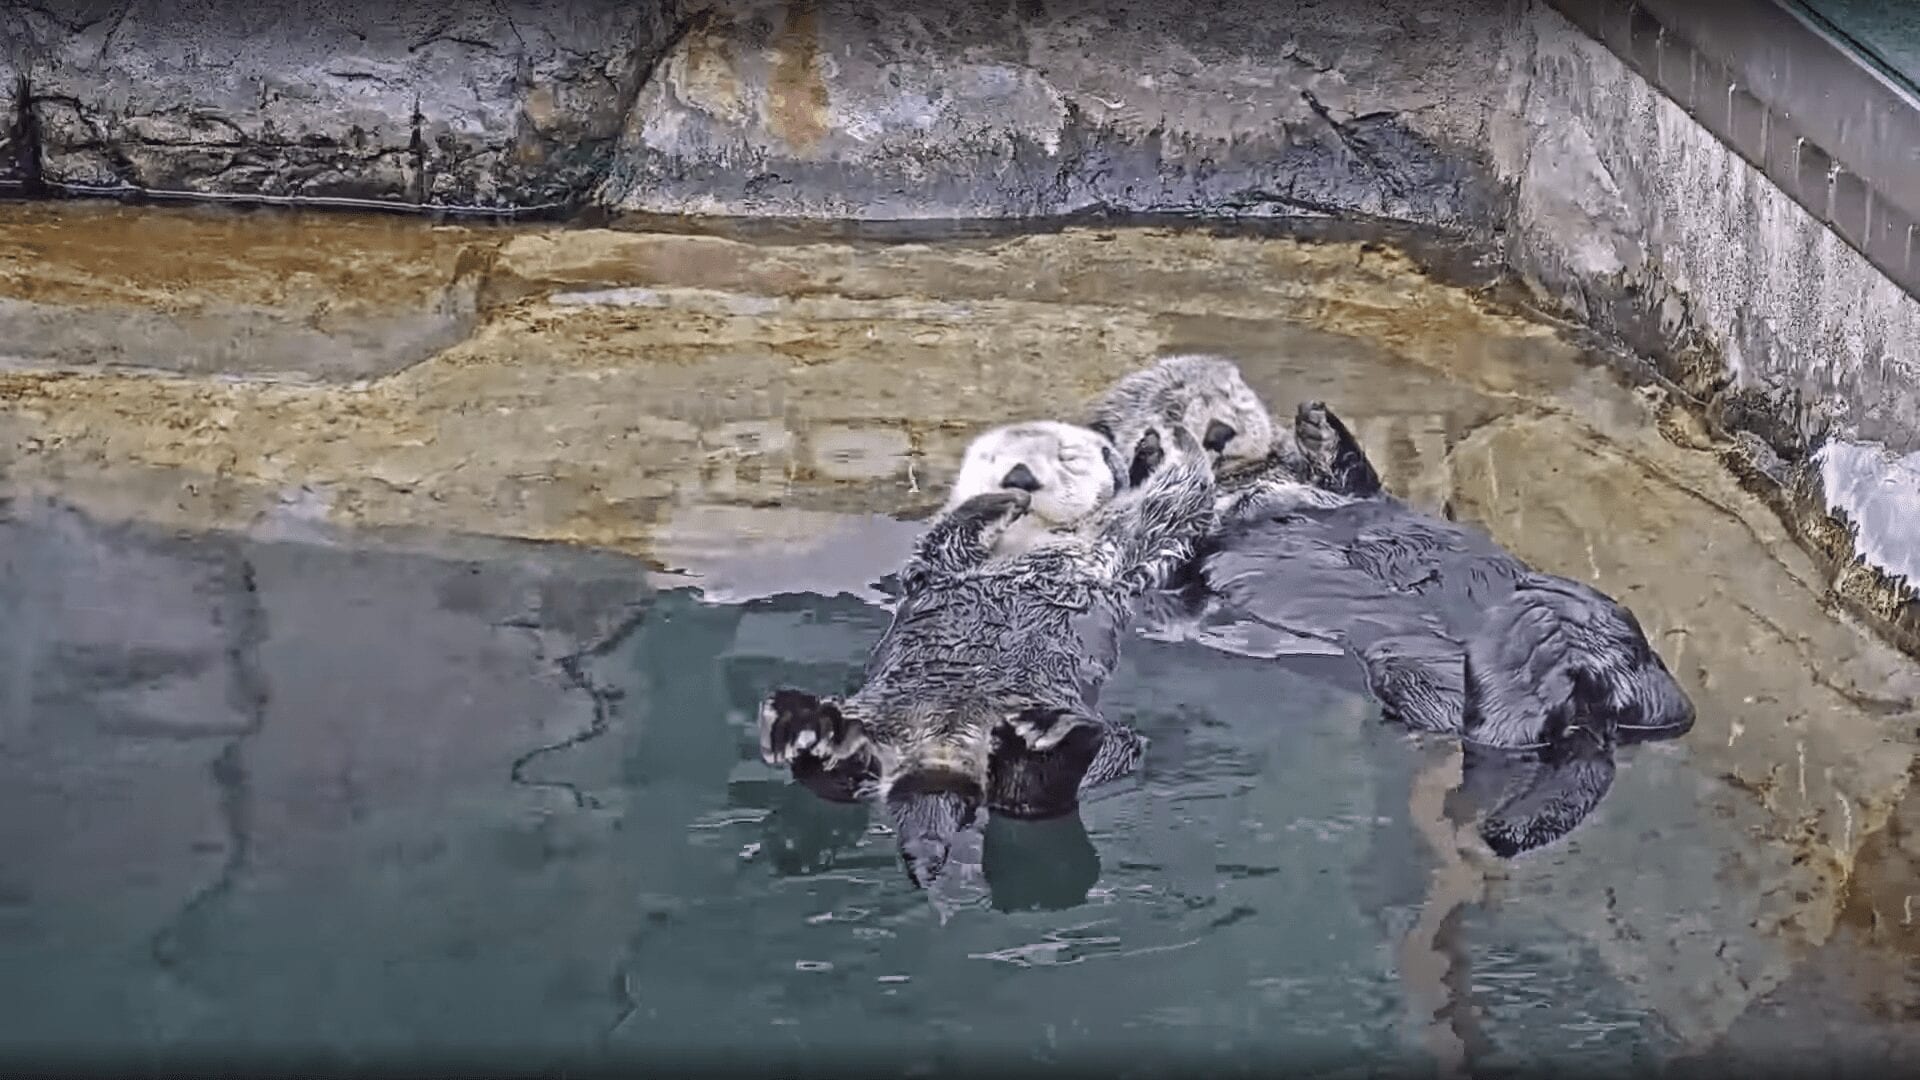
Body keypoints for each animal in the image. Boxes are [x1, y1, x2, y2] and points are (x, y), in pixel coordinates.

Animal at [760, 419, 1216, 886]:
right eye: (994, 457)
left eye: (1067, 457)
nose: (1020, 477)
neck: (1028, 543)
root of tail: (937, 770)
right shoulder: (934, 566)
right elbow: (944, 537)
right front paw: (999, 501)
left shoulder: (1119, 544)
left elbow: (1175, 503)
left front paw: (1169, 441)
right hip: (871, 714)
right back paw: (812, 732)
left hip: (1110, 749)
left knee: (1037, 798)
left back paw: (1041, 747)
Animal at [1093, 354, 1694, 856]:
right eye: (1170, 411)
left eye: (1231, 399)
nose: (1217, 433)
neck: (1248, 483)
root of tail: (1586, 710)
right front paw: (1152, 454)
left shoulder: (1343, 491)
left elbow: (1358, 482)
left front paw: (1321, 426)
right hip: (1418, 673)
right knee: (1501, 737)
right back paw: (1523, 655)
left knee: (1664, 712)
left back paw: (1589, 620)